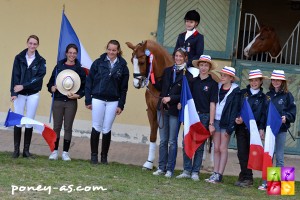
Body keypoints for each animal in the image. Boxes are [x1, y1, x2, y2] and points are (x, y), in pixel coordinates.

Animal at [126, 39, 173, 170]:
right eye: (131, 61)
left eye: (142, 62)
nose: (136, 84)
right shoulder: (152, 111)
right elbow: (153, 136)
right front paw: (149, 162)